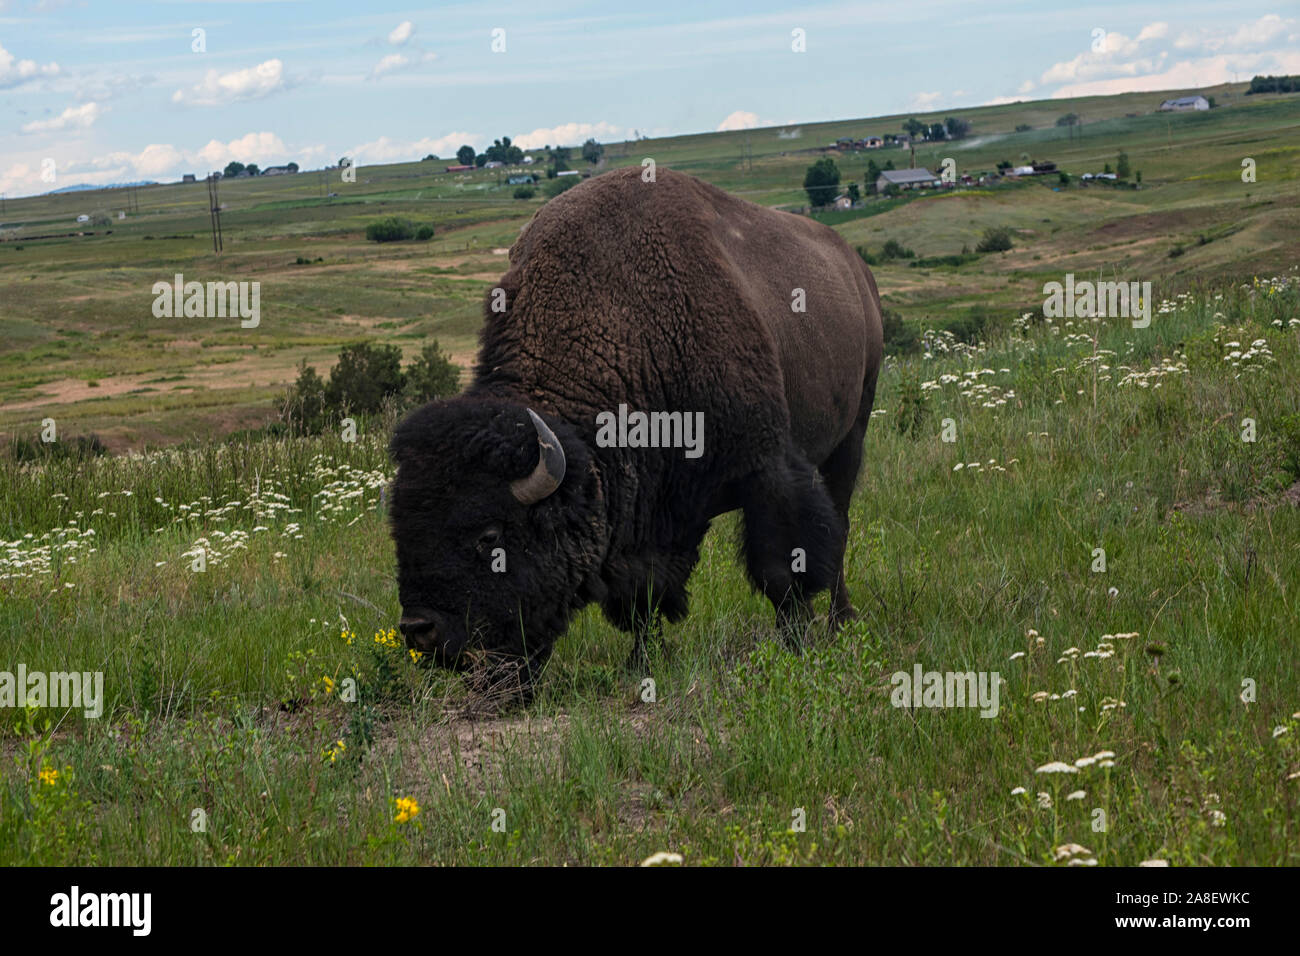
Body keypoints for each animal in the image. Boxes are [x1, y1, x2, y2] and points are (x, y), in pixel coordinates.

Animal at [390, 164, 889, 697]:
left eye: (489, 536)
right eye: (401, 530)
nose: (420, 630)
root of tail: (856, 269)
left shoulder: (767, 470)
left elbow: (781, 569)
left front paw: (795, 646)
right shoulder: (646, 517)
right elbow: (643, 596)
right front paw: (641, 662)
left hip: (850, 437)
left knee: (839, 525)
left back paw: (841, 621)